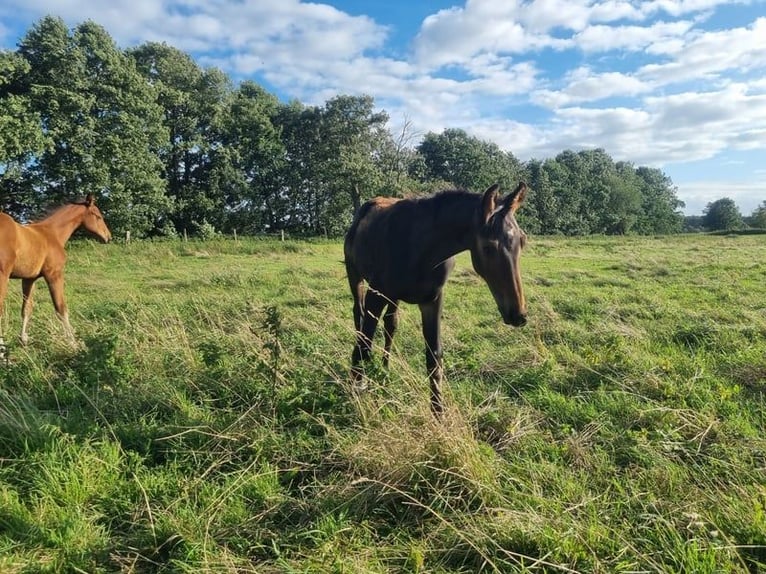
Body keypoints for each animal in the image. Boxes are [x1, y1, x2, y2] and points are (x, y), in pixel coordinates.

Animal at [0, 196, 112, 354]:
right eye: (98, 216)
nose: (108, 237)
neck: (52, 234)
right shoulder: (54, 274)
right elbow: (61, 308)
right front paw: (73, 343)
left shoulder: (29, 279)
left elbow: (27, 309)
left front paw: (24, 340)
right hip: (2, 276)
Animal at [346, 182, 528, 416]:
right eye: (488, 246)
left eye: (522, 241)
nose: (518, 315)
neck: (420, 249)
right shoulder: (375, 295)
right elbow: (364, 345)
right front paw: (358, 391)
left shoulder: (432, 300)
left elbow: (434, 356)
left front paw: (438, 413)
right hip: (356, 278)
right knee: (358, 317)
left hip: (393, 297)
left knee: (390, 325)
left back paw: (385, 370)